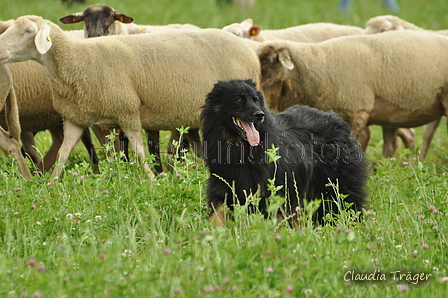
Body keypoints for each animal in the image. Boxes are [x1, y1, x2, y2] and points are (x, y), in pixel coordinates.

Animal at [0, 15, 262, 177]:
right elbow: (63, 153)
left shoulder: (127, 111)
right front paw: (51, 184)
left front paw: (151, 181)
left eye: (28, 31)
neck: (77, 59)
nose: (0, 49)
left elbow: (138, 152)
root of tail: (247, 48)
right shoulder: (77, 118)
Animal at [201, 79, 370, 226]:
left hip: (338, 190)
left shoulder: (271, 194)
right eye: (238, 99)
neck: (240, 147)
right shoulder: (223, 188)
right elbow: (217, 215)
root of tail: (338, 120)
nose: (260, 115)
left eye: (256, 100)